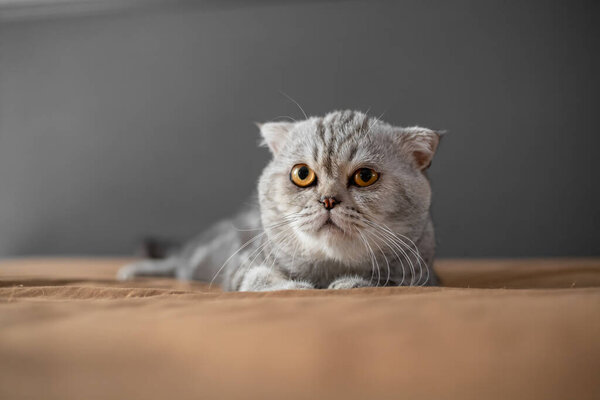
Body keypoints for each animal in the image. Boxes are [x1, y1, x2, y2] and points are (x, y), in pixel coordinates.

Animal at [118, 109, 446, 290]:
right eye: (302, 174)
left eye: (365, 176)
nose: (328, 200)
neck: (329, 267)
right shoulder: (243, 266)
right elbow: (259, 279)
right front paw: (298, 286)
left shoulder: (423, 275)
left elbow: (387, 282)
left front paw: (351, 283)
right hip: (199, 258)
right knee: (175, 262)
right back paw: (134, 270)